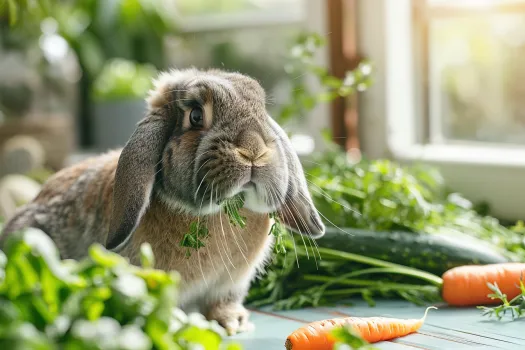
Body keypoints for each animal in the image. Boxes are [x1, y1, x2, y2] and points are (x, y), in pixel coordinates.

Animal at [1, 67, 324, 334]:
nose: (253, 150)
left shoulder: (230, 284)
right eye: (196, 116)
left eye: (261, 109)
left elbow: (223, 302)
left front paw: (233, 322)